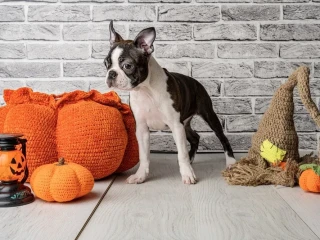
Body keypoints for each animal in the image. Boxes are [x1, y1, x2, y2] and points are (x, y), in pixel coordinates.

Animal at [104, 21, 235, 185]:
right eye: (106, 64)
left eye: (128, 66)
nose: (111, 74)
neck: (146, 90)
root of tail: (197, 82)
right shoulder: (142, 128)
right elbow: (144, 156)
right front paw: (140, 175)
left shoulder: (175, 125)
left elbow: (181, 153)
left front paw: (187, 174)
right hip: (184, 124)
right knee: (195, 138)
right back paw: (192, 159)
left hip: (208, 115)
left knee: (223, 138)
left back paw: (230, 162)